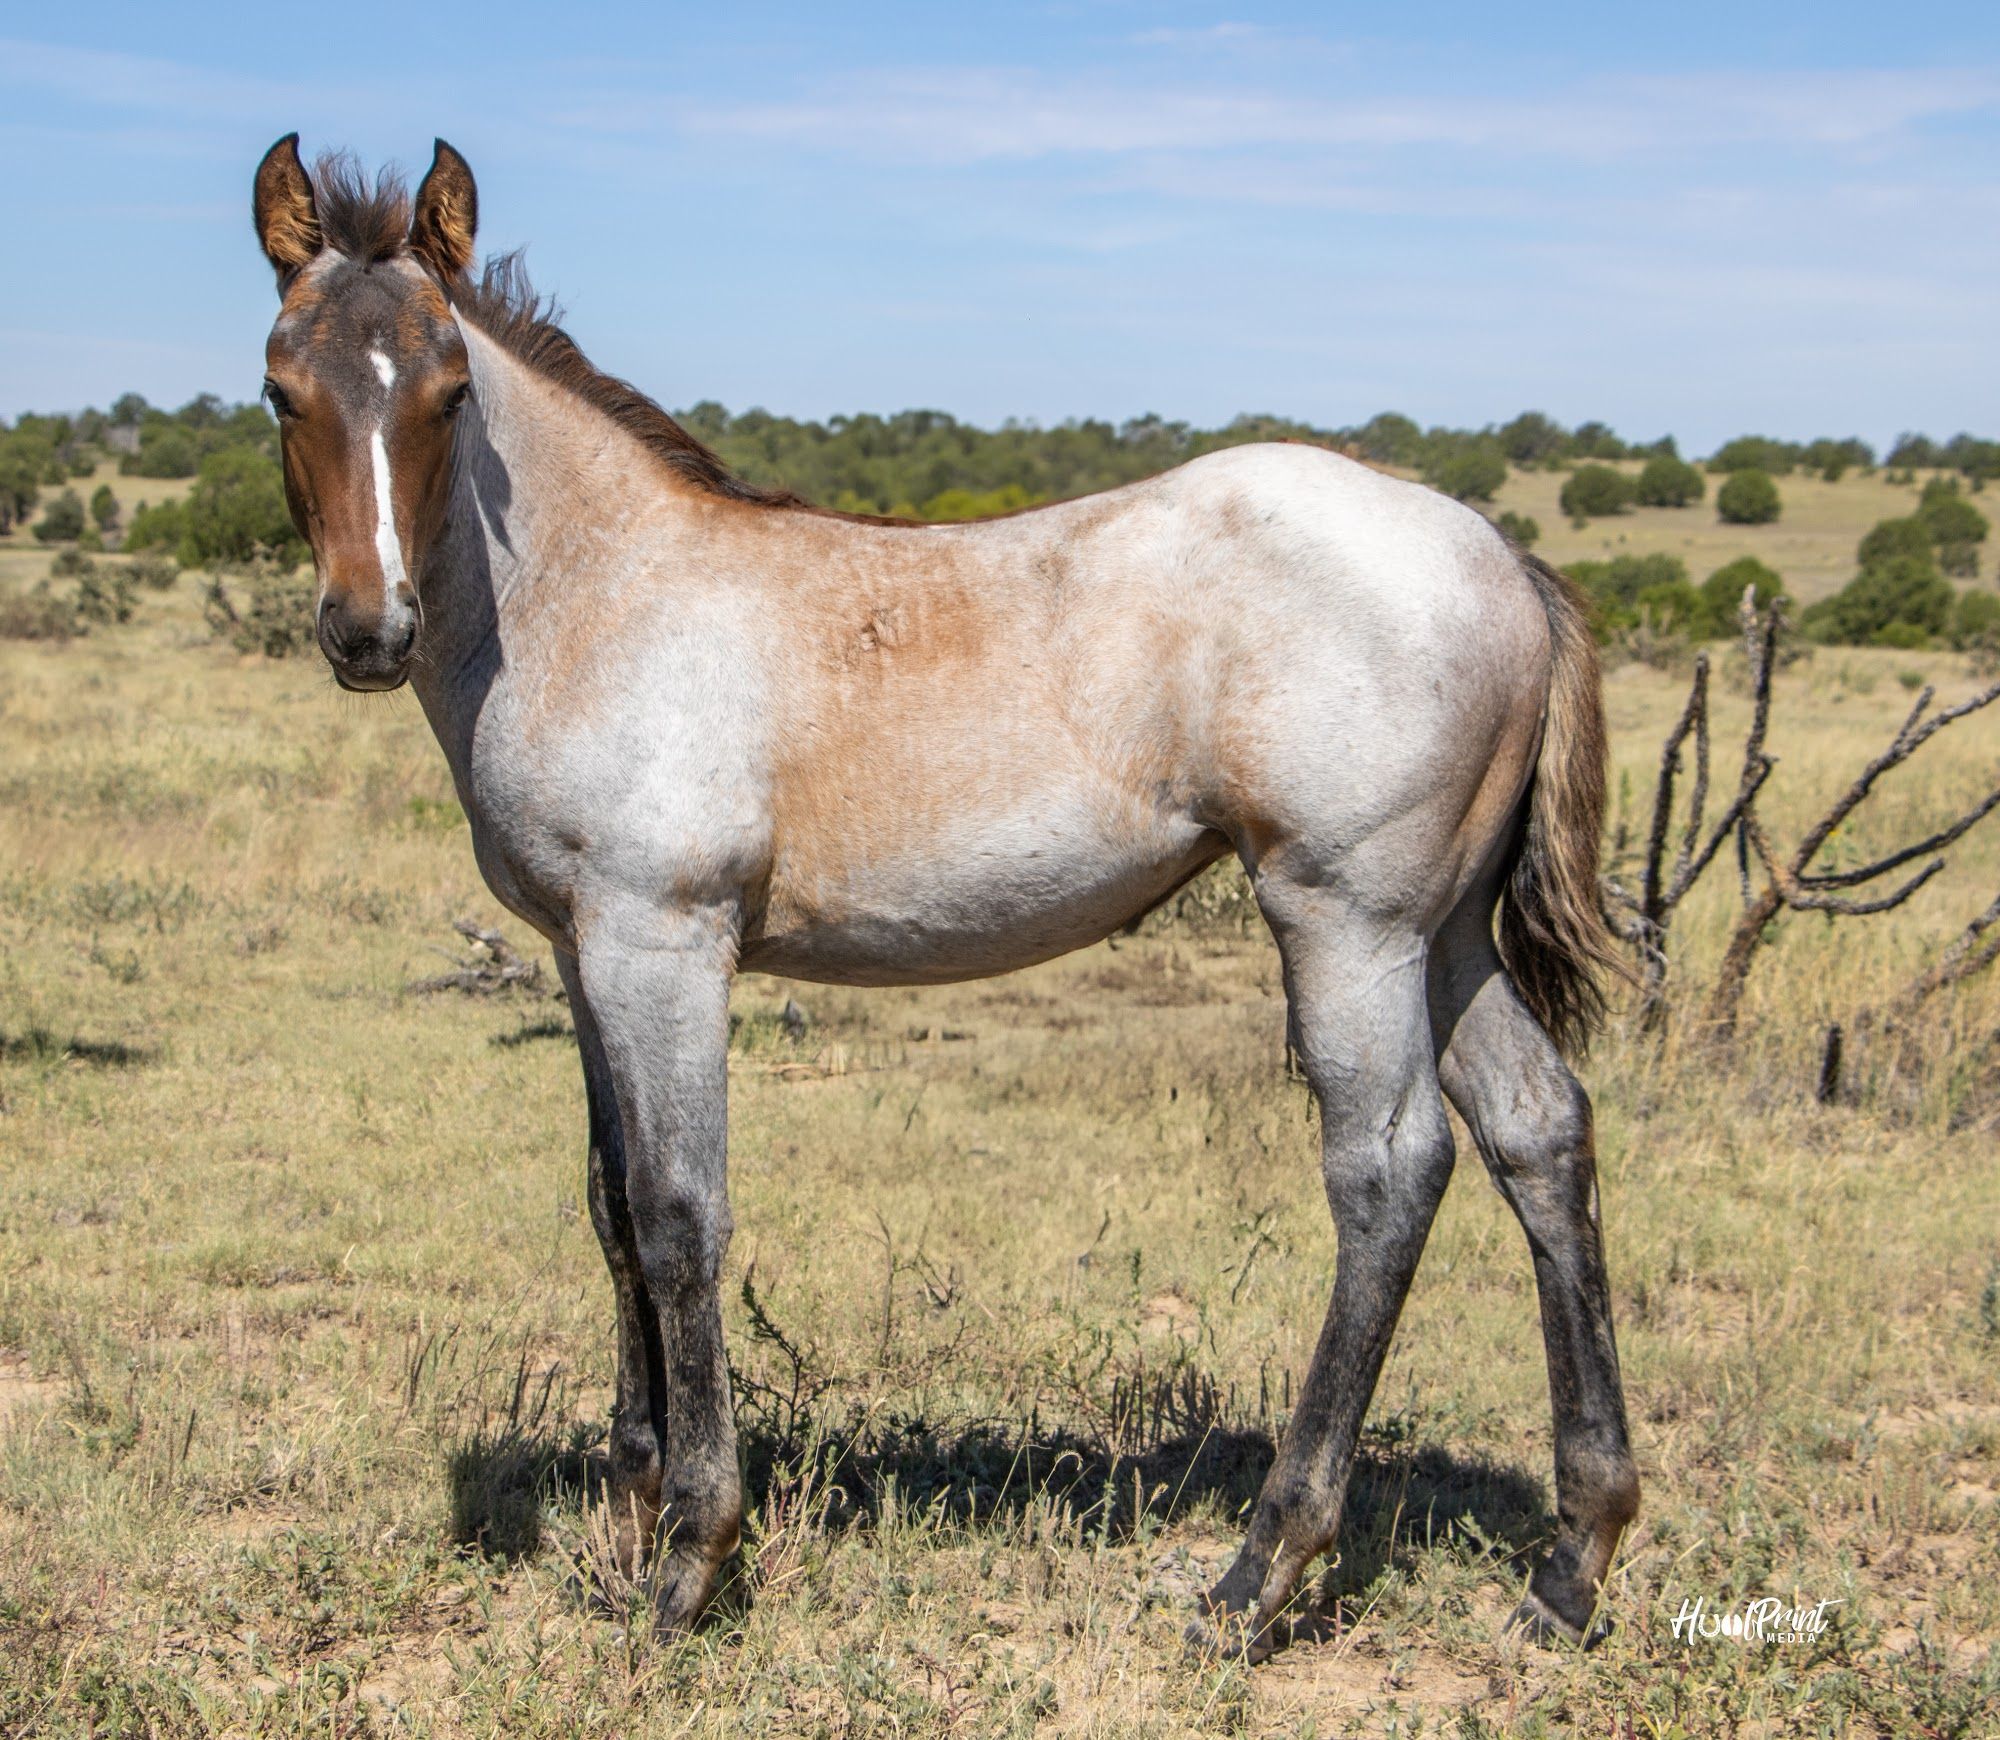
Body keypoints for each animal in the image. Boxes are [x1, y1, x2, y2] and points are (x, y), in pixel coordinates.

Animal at [249, 133, 1638, 1660]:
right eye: (280, 388)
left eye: (447, 392)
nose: (369, 633)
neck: (593, 593)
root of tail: (1496, 555)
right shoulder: (579, 951)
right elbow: (612, 1209)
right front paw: (628, 1515)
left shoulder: (662, 944)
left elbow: (678, 1215)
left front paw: (691, 1560)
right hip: (1444, 937)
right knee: (1537, 1131)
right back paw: (1570, 1564)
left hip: (1348, 924)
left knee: (1388, 1174)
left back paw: (1259, 1573)